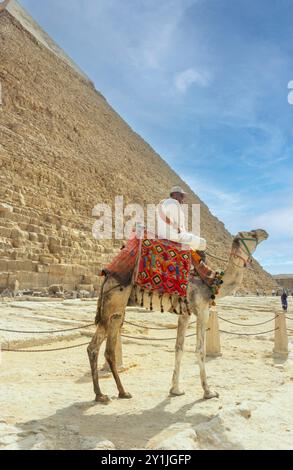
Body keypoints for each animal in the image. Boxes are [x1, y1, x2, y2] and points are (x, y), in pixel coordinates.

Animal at [86, 229, 266, 402]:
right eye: (252, 233)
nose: (265, 233)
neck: (212, 281)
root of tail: (107, 273)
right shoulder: (202, 310)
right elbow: (200, 350)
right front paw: (209, 392)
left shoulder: (185, 314)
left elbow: (179, 348)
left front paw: (175, 390)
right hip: (113, 304)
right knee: (98, 348)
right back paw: (101, 395)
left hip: (117, 312)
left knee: (103, 349)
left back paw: (118, 393)